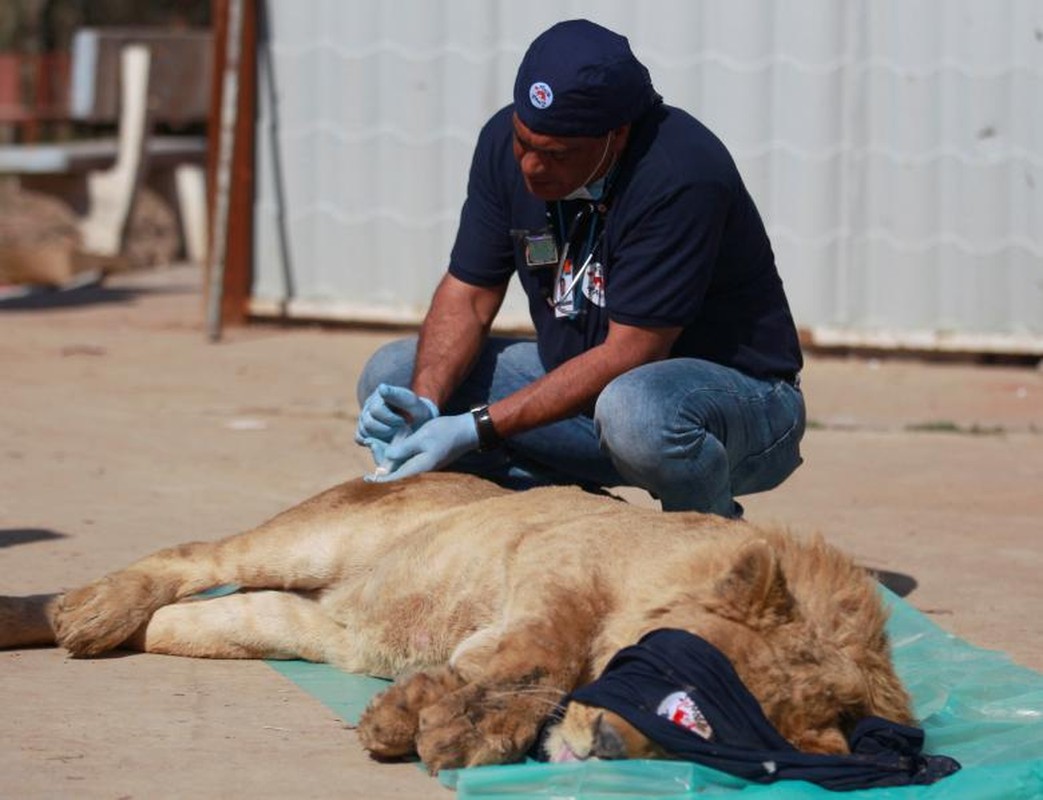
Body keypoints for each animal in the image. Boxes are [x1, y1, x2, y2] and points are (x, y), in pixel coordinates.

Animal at [0, 471, 909, 771]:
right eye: (682, 680)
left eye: (707, 738)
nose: (610, 750)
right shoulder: (558, 564)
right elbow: (541, 652)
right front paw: (438, 723)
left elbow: (523, 673)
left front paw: (443, 724)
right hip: (318, 539)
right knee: (191, 557)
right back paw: (89, 613)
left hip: (294, 625)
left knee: (179, 620)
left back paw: (67, 619)